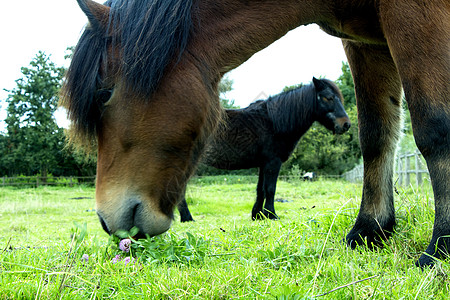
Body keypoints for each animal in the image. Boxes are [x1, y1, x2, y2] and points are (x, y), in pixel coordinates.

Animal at [179, 78, 352, 221]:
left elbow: (260, 189)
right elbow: (270, 189)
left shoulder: (263, 164)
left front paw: (257, 215)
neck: (274, 122)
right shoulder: (273, 162)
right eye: (328, 97)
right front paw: (271, 214)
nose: (346, 124)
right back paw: (187, 218)